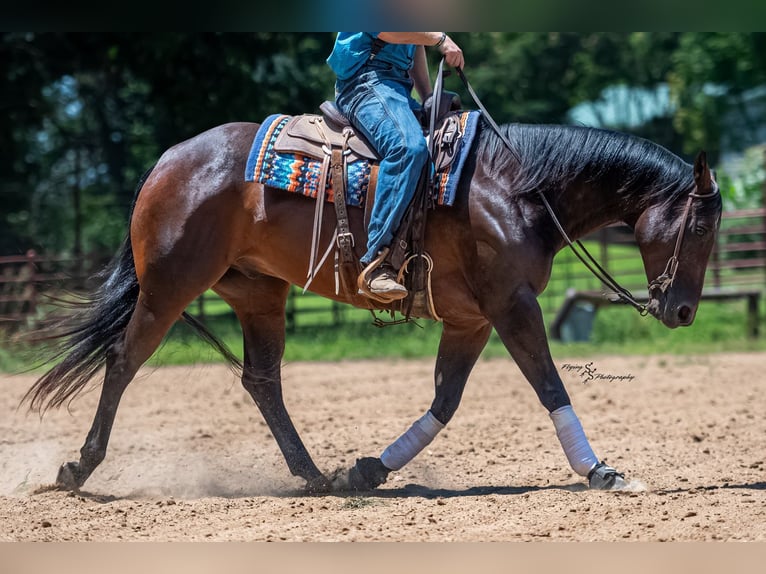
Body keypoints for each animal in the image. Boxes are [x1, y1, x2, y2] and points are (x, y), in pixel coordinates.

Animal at [23, 115, 721, 494]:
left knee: (263, 380)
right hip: (170, 287)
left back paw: (316, 476)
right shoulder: (511, 304)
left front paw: (369, 470)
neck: (517, 188)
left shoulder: (471, 319)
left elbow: (444, 402)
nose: (684, 312)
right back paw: (80, 469)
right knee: (123, 360)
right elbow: (550, 385)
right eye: (700, 225)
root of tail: (166, 161)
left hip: (258, 294)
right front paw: (601, 471)